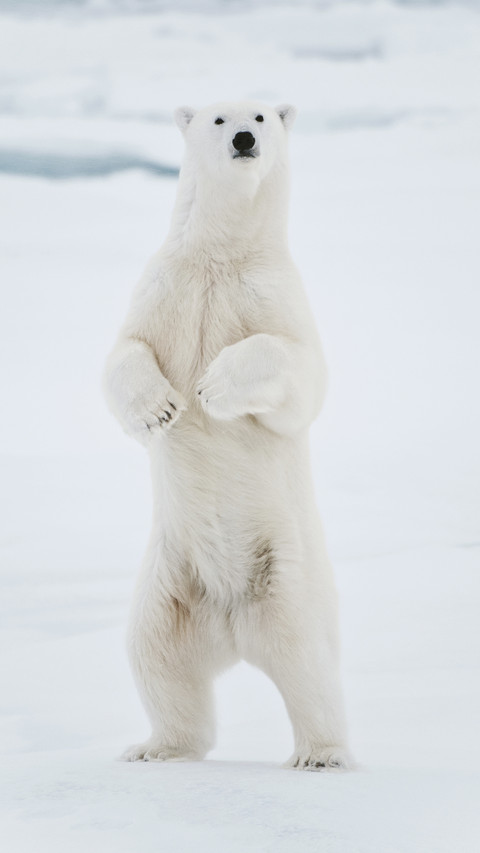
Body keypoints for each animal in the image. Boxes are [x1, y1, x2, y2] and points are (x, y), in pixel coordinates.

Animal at [103, 100, 351, 771]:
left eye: (261, 114)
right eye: (218, 118)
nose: (244, 138)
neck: (220, 257)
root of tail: (233, 629)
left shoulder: (274, 295)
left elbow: (299, 372)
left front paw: (213, 388)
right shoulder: (163, 286)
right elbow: (123, 354)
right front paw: (161, 408)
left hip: (287, 576)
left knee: (309, 664)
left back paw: (321, 754)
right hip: (168, 583)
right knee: (155, 656)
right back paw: (157, 747)